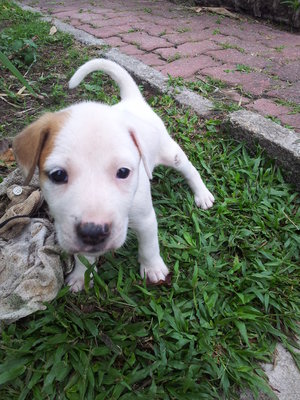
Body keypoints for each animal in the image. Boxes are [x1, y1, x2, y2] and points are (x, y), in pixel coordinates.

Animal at [13, 58, 213, 290]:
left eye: (123, 172)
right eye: (58, 175)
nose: (93, 232)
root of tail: (132, 100)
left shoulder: (145, 218)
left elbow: (149, 245)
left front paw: (153, 269)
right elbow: (83, 257)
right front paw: (81, 276)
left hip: (169, 152)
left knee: (189, 168)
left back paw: (202, 194)